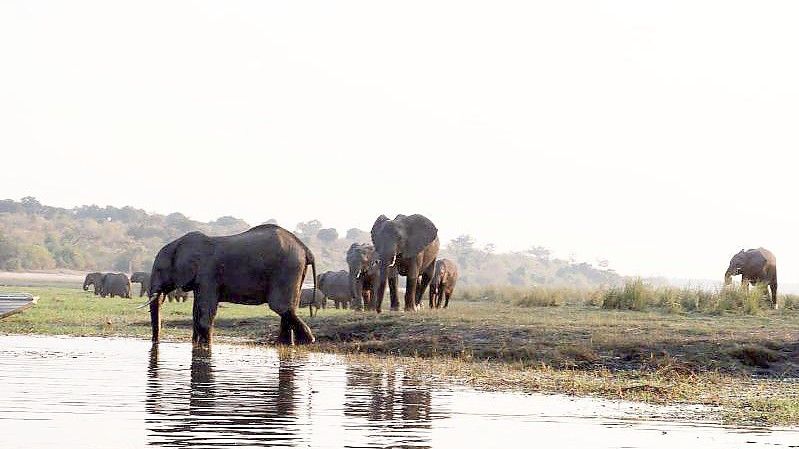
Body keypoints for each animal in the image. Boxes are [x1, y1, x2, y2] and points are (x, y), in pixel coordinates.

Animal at [148, 223, 318, 344]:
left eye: (159, 270)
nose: (155, 342)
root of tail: (305, 248)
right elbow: (197, 311)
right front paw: (196, 345)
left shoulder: (208, 274)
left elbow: (205, 311)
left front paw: (204, 346)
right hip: (295, 271)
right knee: (288, 309)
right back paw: (286, 344)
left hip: (287, 269)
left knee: (280, 307)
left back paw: (308, 341)